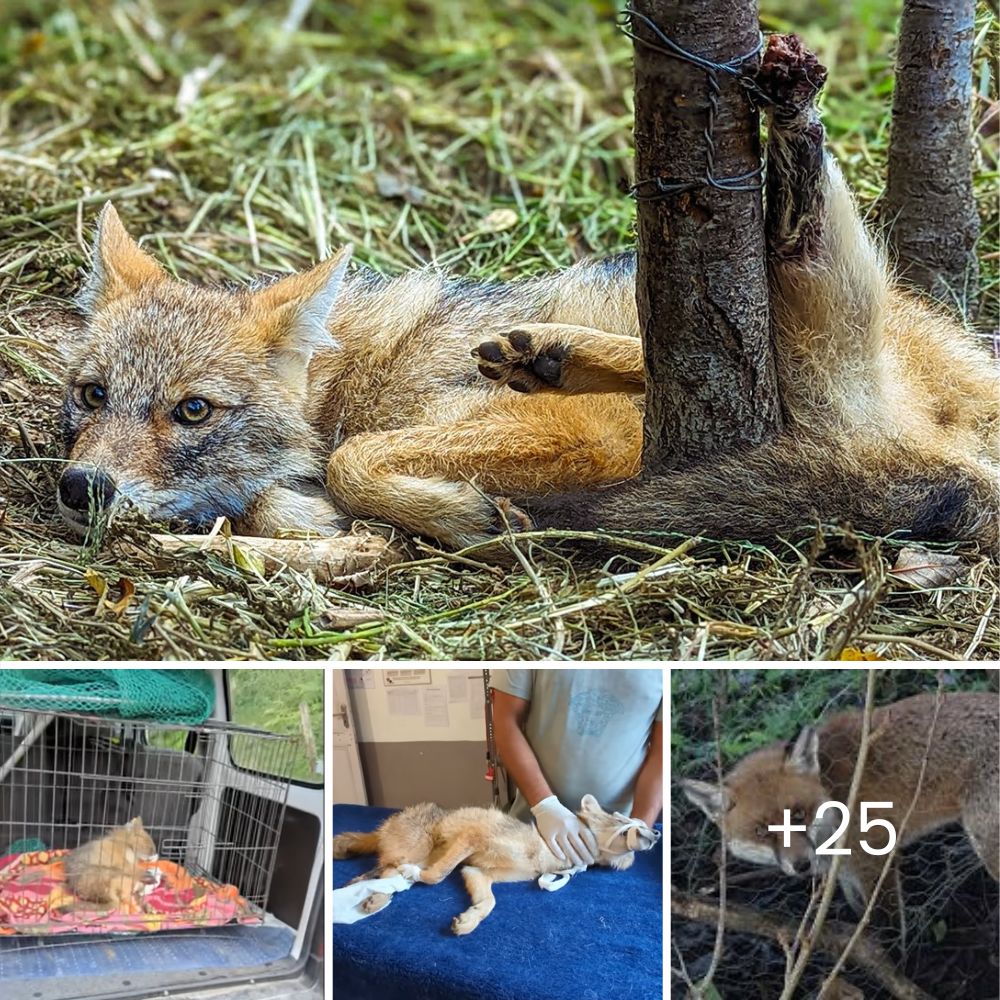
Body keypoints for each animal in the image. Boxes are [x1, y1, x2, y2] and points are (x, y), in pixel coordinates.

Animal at [332, 792, 660, 932]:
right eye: (621, 819)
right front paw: (423, 878)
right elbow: (437, 876)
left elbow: (489, 903)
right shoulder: (472, 839)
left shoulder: (476, 870)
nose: (656, 832)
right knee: (384, 870)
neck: (544, 850)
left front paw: (469, 919)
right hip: (417, 848)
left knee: (381, 875)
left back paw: (376, 898)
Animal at [680, 692, 1000, 924]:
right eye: (761, 831)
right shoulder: (846, 874)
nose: (802, 865)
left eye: (799, 814)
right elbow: (862, 919)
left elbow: (887, 929)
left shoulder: (875, 862)